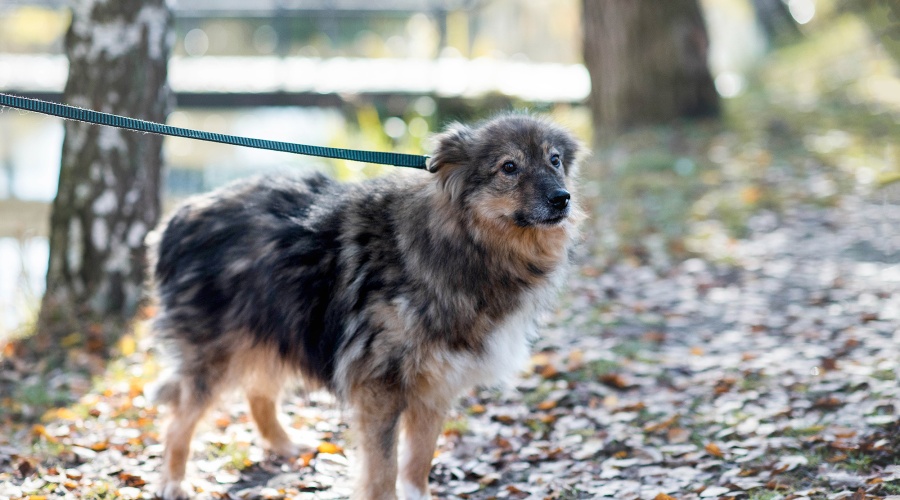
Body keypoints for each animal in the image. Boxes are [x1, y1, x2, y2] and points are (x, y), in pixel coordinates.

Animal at [147, 114, 583, 499]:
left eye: (554, 160)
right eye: (509, 166)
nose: (562, 199)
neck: (463, 243)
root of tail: (177, 218)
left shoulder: (435, 385)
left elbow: (416, 464)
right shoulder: (379, 387)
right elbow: (383, 470)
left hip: (278, 327)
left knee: (259, 393)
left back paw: (284, 444)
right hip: (218, 354)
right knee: (179, 420)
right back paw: (173, 481)